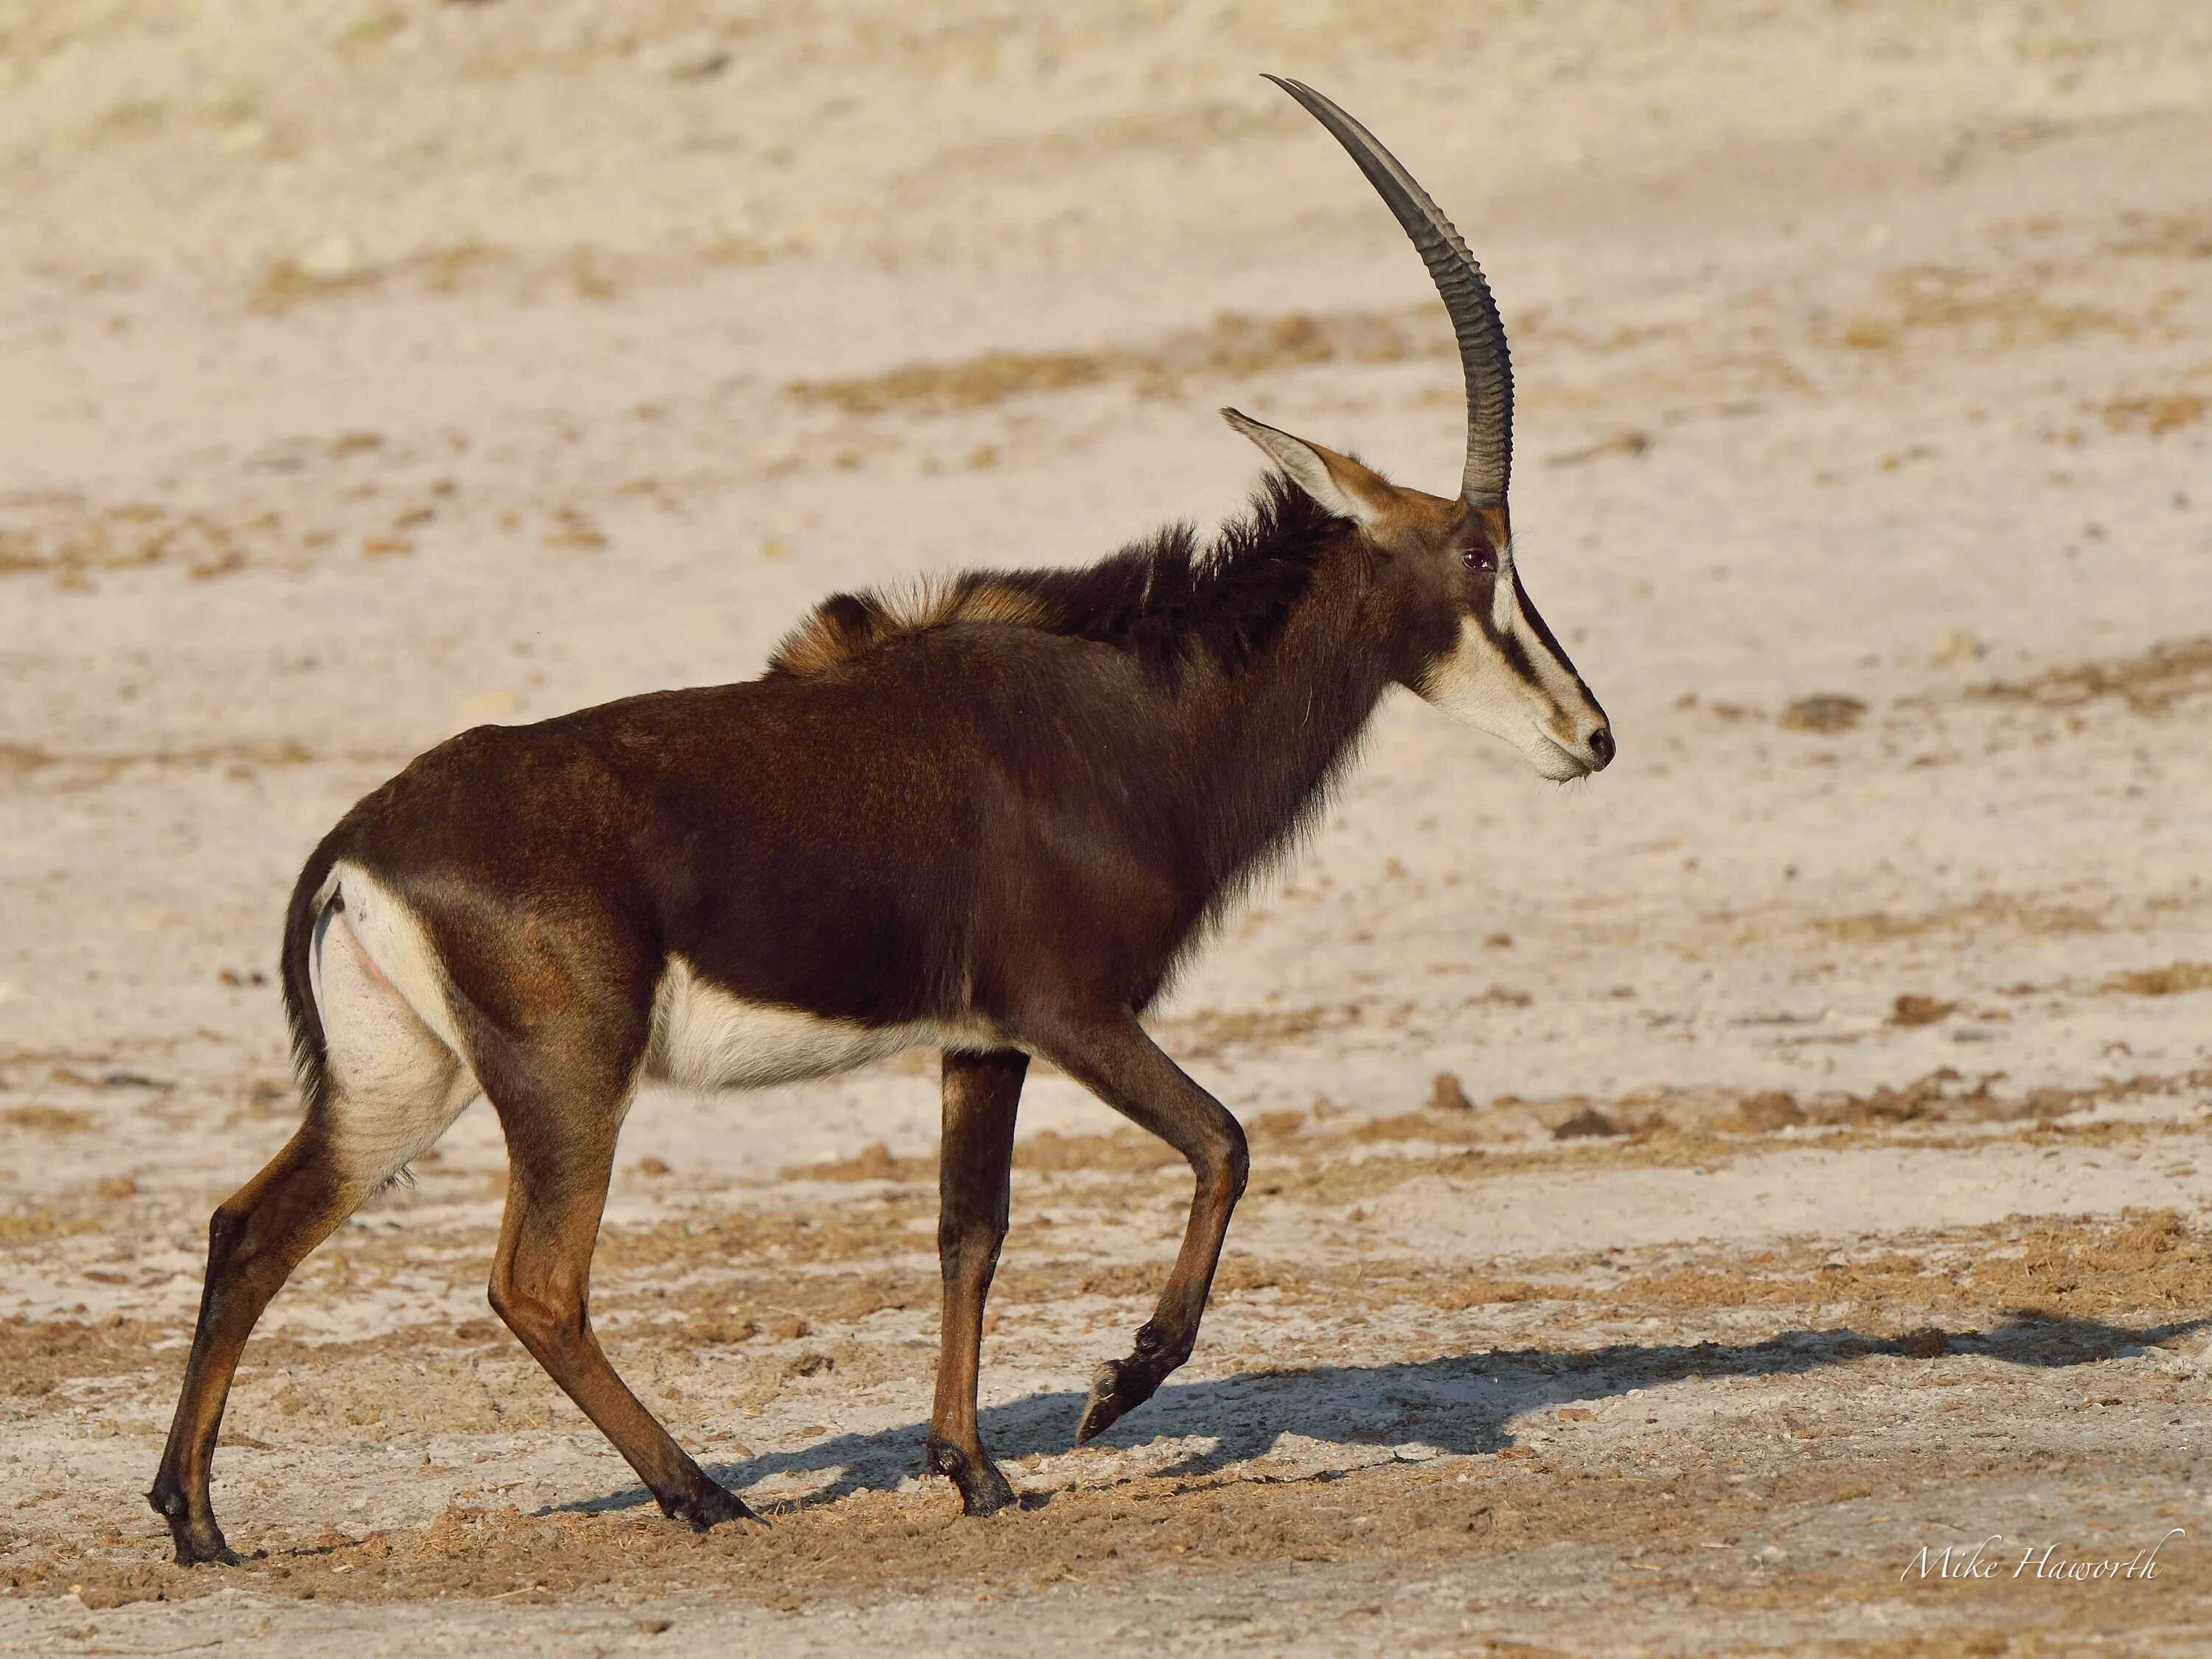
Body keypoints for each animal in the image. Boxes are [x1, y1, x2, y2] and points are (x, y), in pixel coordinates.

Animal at [151, 71, 1610, 1566]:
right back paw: (702, 1492)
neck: (1133, 711)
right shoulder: (1069, 1011)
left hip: (407, 1078)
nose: (1591, 735)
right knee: (534, 1282)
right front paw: (1112, 1389)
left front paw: (972, 1465)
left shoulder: (981, 1040)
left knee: (250, 1229)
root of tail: (356, 846)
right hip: (567, 1076)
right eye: (1480, 552)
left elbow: (971, 1232)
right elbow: (1226, 1142)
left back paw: (197, 1521)